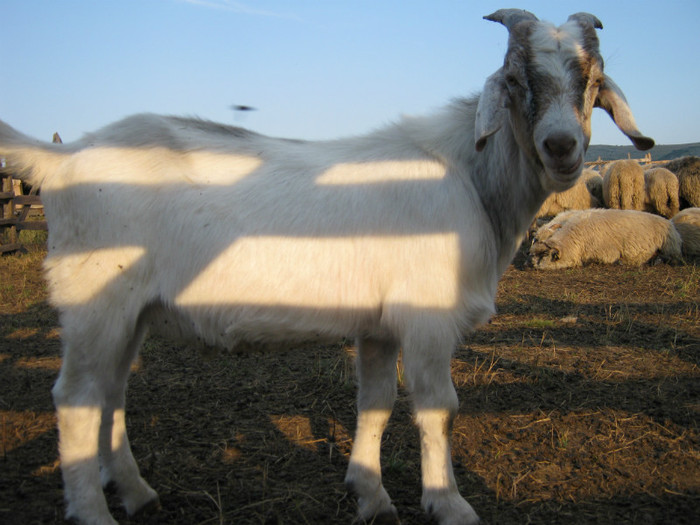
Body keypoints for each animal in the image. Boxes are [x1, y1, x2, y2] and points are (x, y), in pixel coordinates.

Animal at [1, 9, 656, 524]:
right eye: (517, 80)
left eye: (594, 81)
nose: (562, 147)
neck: (471, 180)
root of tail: (63, 157)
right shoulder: (426, 320)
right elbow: (437, 407)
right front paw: (449, 504)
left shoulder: (379, 325)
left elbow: (375, 403)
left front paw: (371, 495)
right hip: (94, 299)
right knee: (76, 397)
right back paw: (93, 512)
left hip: (131, 311)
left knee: (109, 392)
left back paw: (137, 493)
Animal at [528, 207, 680, 268]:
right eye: (535, 241)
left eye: (544, 254)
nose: (527, 261)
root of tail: (669, 222)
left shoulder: (607, 253)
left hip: (670, 246)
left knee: (671, 258)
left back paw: (656, 260)